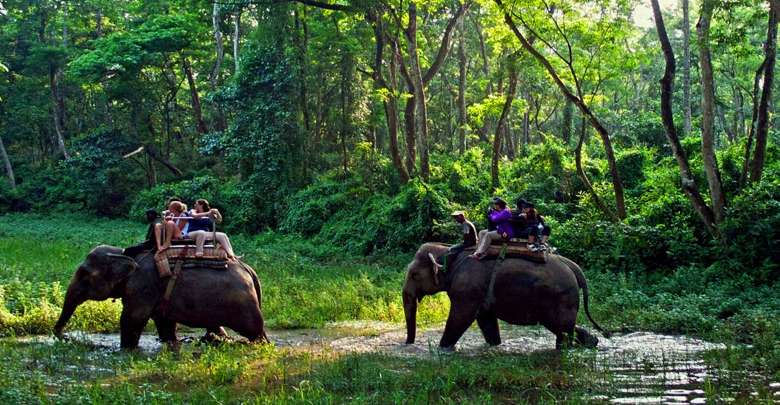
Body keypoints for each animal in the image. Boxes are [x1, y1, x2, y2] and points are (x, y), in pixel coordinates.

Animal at [54, 243, 268, 348]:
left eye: (84, 274)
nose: (64, 336)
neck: (123, 253)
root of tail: (249, 270)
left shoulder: (143, 285)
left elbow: (132, 318)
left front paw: (126, 350)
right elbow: (164, 322)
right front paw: (171, 343)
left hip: (243, 305)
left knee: (255, 331)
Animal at [402, 241, 608, 348]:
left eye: (414, 275)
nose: (408, 344)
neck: (449, 251)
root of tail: (574, 267)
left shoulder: (467, 289)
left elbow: (460, 318)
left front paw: (443, 349)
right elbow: (485, 320)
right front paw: (495, 345)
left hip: (560, 297)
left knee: (562, 330)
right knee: (565, 327)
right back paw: (592, 342)